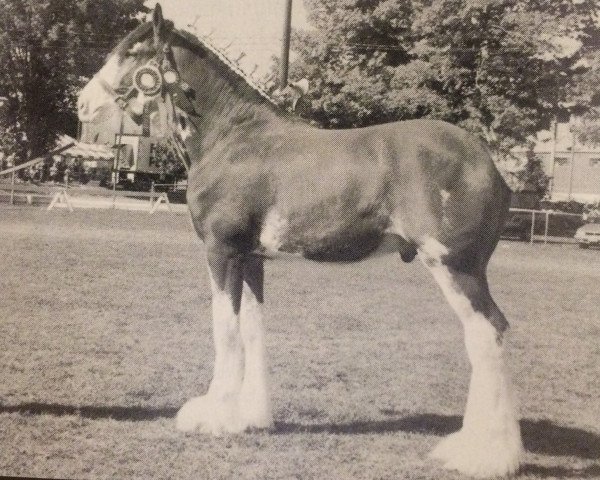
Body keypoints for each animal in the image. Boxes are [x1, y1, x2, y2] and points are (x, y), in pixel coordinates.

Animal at [78, 5, 524, 478]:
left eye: (135, 52)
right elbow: (251, 327)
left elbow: (225, 328)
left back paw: (483, 454)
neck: (232, 138)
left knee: (487, 332)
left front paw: (213, 416)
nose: (82, 103)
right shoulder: (253, 258)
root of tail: (490, 165)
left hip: (456, 266)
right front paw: (251, 416)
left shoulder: (222, 252)